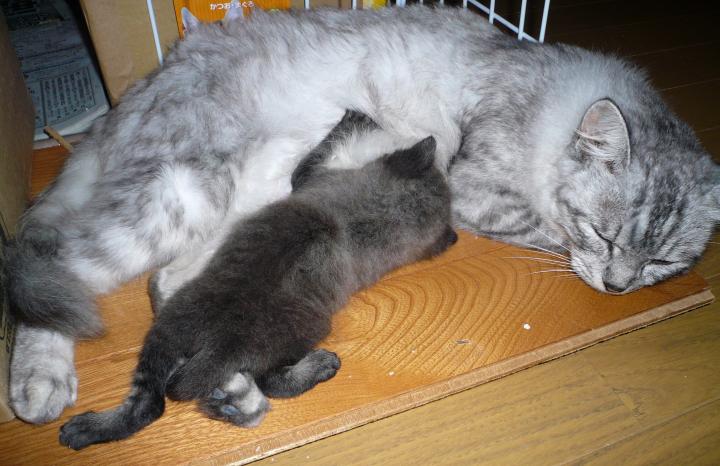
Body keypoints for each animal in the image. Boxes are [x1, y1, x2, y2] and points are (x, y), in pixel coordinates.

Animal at [57, 110, 457, 450]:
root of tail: (215, 341)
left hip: (282, 335)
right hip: (168, 332)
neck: (380, 212)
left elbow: (311, 158)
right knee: (151, 403)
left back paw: (317, 366)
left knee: (258, 383)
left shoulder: (309, 177)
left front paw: (350, 119)